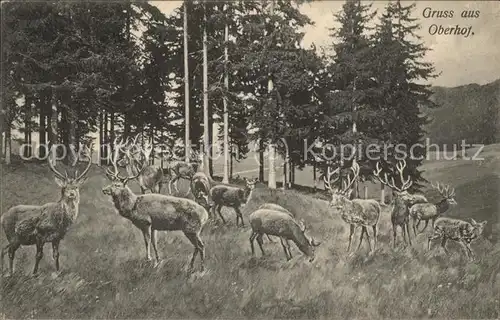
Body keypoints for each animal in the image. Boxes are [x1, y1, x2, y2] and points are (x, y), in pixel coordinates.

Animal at [0, 146, 92, 274]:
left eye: (76, 187)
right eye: (64, 187)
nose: (72, 194)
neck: (59, 222)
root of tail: (3, 216)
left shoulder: (57, 238)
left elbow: (56, 254)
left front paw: (57, 272)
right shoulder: (39, 234)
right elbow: (39, 255)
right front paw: (34, 273)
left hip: (17, 239)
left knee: (4, 249)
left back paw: (6, 271)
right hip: (12, 235)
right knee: (9, 251)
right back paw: (10, 272)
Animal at [100, 142, 208, 272]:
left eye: (117, 185)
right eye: (111, 183)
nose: (104, 189)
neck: (133, 205)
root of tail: (206, 215)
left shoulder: (145, 222)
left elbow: (147, 242)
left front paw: (149, 259)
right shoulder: (154, 225)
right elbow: (154, 243)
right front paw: (158, 261)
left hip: (191, 228)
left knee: (201, 246)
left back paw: (201, 269)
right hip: (194, 230)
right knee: (197, 246)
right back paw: (191, 266)